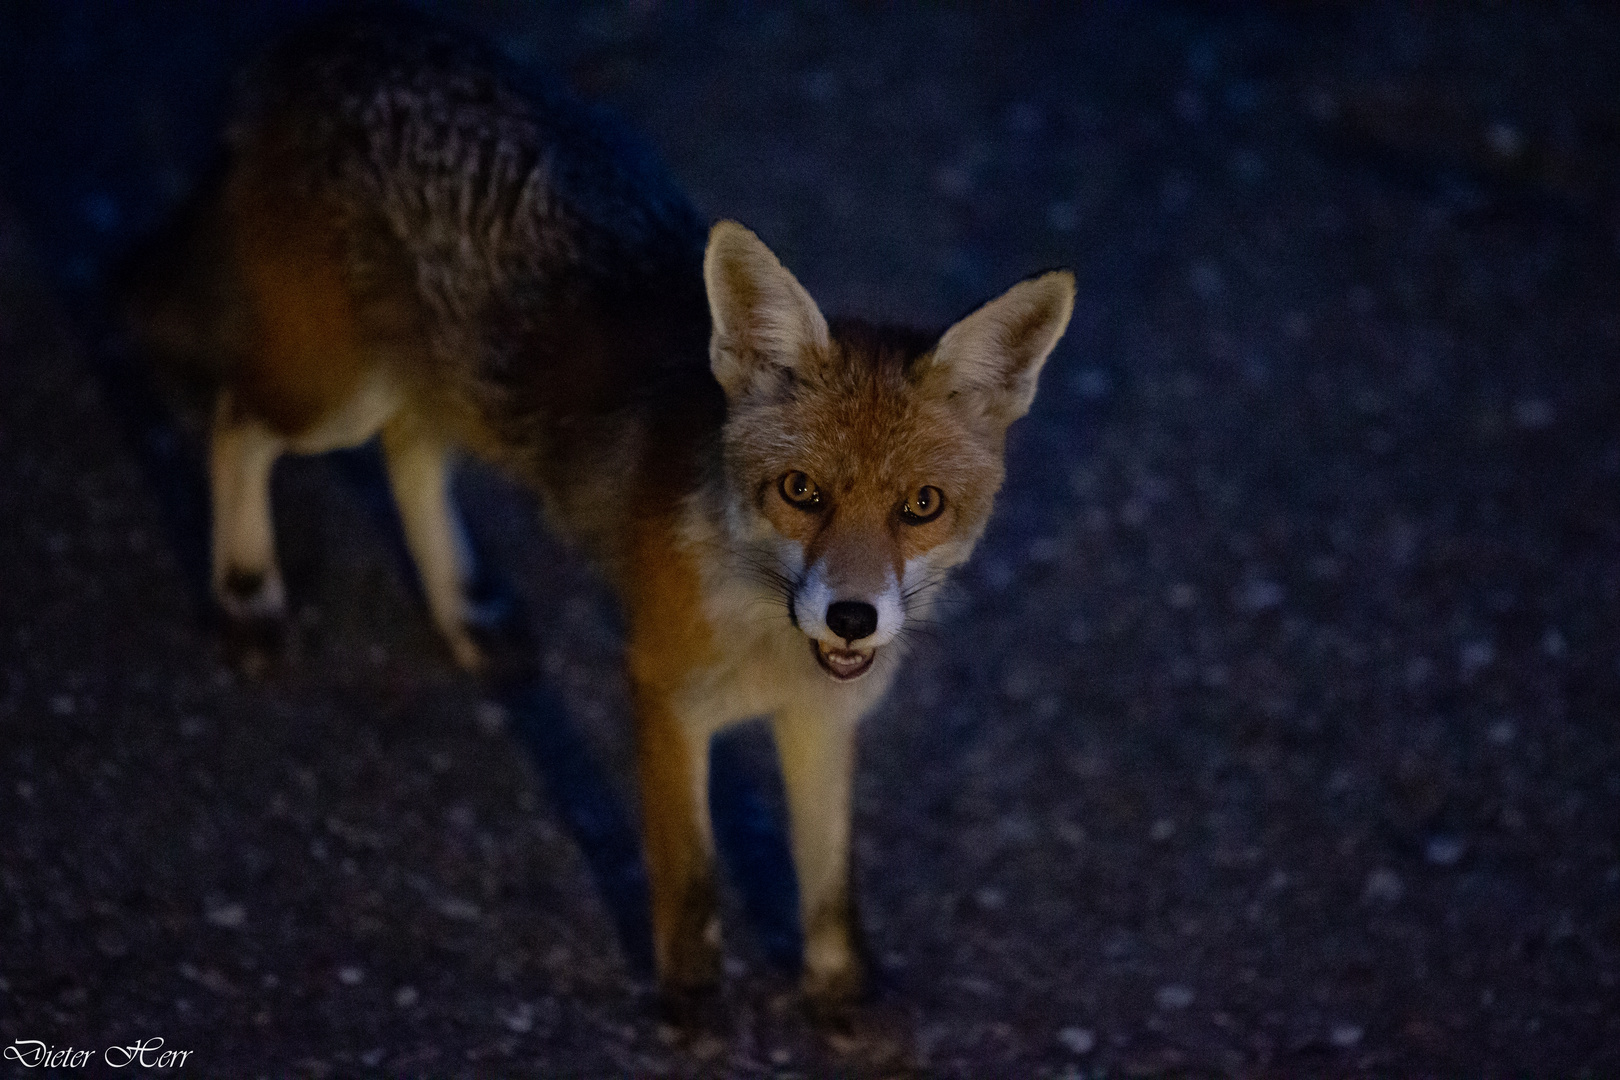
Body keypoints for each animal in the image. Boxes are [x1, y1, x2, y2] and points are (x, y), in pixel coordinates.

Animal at [119, 10, 1069, 1016]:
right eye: (801, 491)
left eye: (921, 505)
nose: (853, 616)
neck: (764, 637)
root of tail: (333, 31)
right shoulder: (665, 695)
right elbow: (688, 877)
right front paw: (691, 1006)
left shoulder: (824, 717)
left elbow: (828, 886)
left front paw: (842, 1001)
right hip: (334, 389)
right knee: (236, 423)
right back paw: (247, 592)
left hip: (430, 383)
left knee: (411, 450)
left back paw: (466, 610)